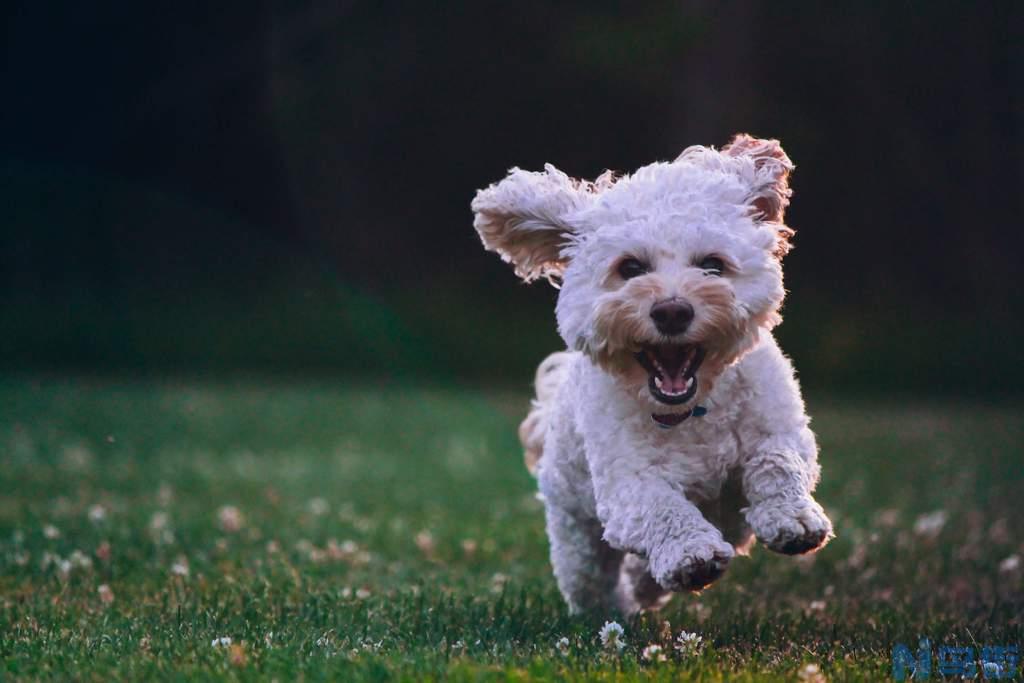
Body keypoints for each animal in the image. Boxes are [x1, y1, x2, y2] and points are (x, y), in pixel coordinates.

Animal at [471, 133, 831, 614]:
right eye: (630, 268)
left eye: (712, 265)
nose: (672, 311)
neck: (693, 410)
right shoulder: (627, 484)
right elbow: (661, 507)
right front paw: (690, 553)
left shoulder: (780, 427)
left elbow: (778, 461)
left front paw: (793, 518)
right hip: (575, 529)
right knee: (590, 577)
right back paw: (615, 607)